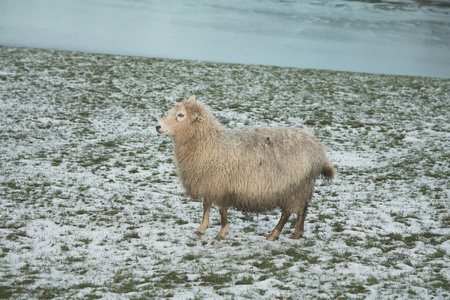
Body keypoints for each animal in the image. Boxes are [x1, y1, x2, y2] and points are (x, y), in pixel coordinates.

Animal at [156, 96, 334, 241]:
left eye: (181, 115)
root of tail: (318, 149)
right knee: (303, 209)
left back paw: (273, 235)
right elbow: (206, 205)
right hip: (304, 186)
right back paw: (297, 233)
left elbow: (222, 209)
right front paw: (201, 228)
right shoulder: (210, 182)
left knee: (287, 213)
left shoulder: (222, 184)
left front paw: (222, 232)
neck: (208, 143)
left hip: (292, 188)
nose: (157, 126)